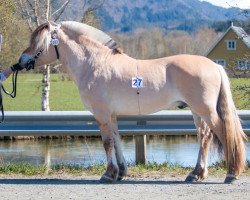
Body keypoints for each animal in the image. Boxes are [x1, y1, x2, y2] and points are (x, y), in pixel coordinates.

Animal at [18, 21, 247, 184]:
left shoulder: (101, 114)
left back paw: (231, 174)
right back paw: (196, 174)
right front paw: (120, 172)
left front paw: (108, 174)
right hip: (197, 112)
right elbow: (117, 140)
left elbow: (107, 142)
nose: (21, 61)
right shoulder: (111, 115)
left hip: (205, 110)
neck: (94, 63)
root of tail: (214, 66)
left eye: (40, 43)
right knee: (204, 137)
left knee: (222, 132)